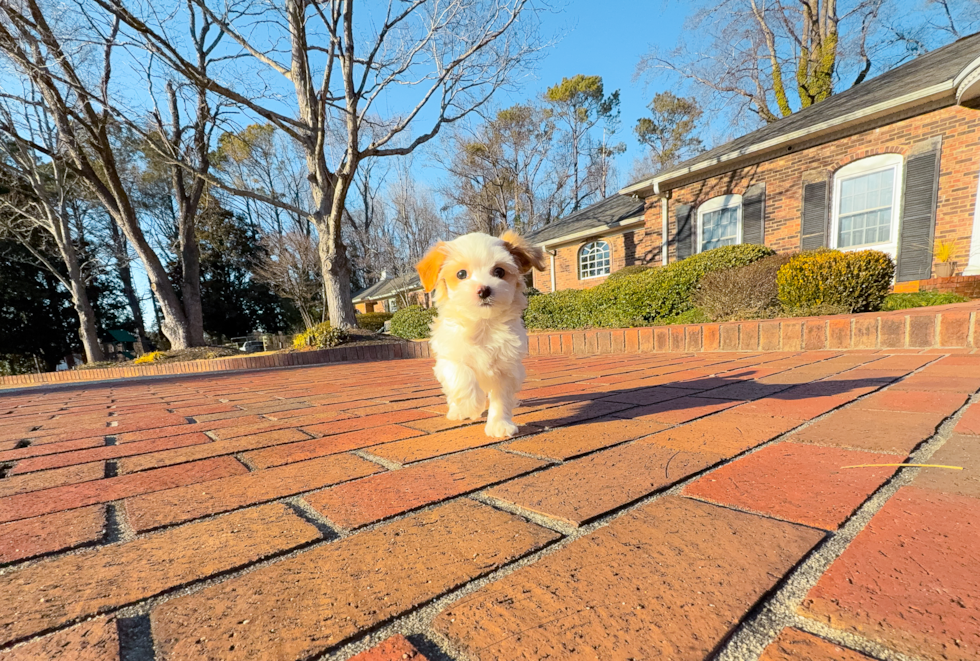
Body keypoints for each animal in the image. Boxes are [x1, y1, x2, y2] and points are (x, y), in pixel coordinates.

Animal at [416, 229, 548, 436]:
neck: (482, 323)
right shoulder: (449, 356)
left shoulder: (506, 367)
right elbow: (462, 375)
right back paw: (457, 410)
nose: (484, 290)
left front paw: (499, 424)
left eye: (499, 272)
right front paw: (469, 406)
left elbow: (501, 399)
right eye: (461, 273)